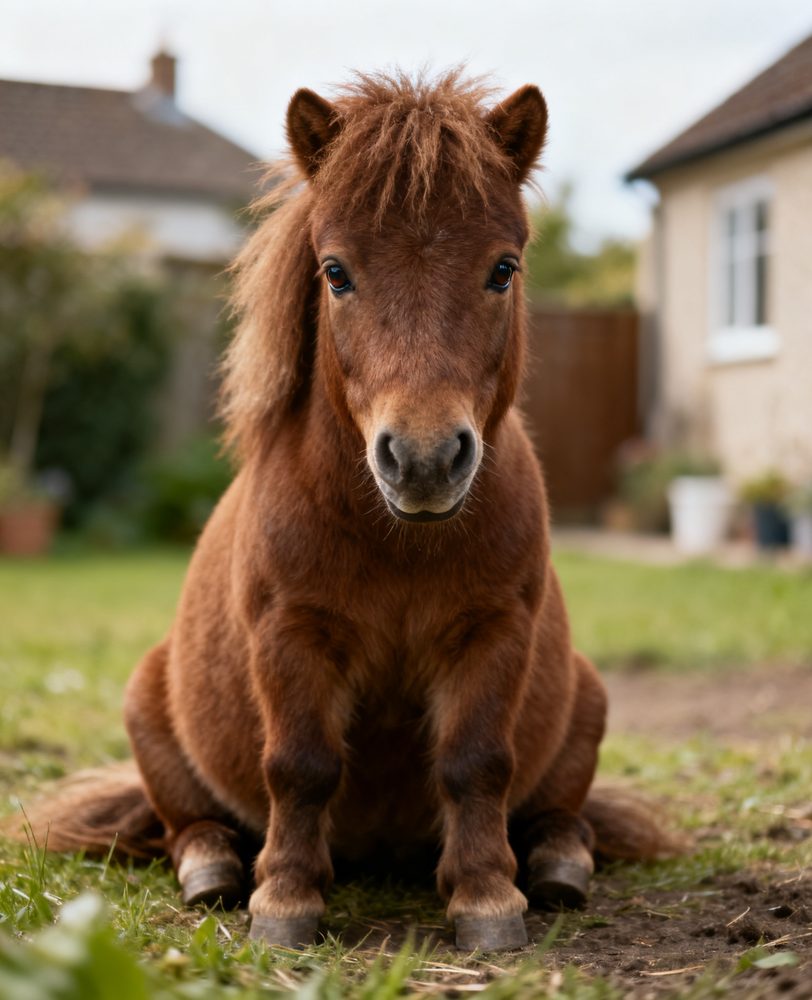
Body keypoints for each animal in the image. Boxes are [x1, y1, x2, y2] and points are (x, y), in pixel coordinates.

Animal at [7, 71, 671, 952]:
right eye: (335, 272)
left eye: (503, 269)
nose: (423, 460)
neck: (398, 542)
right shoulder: (291, 637)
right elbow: (301, 765)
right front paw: (285, 903)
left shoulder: (493, 634)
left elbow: (476, 762)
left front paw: (488, 901)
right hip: (149, 712)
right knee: (188, 825)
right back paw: (212, 871)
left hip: (585, 705)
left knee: (564, 816)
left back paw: (559, 866)